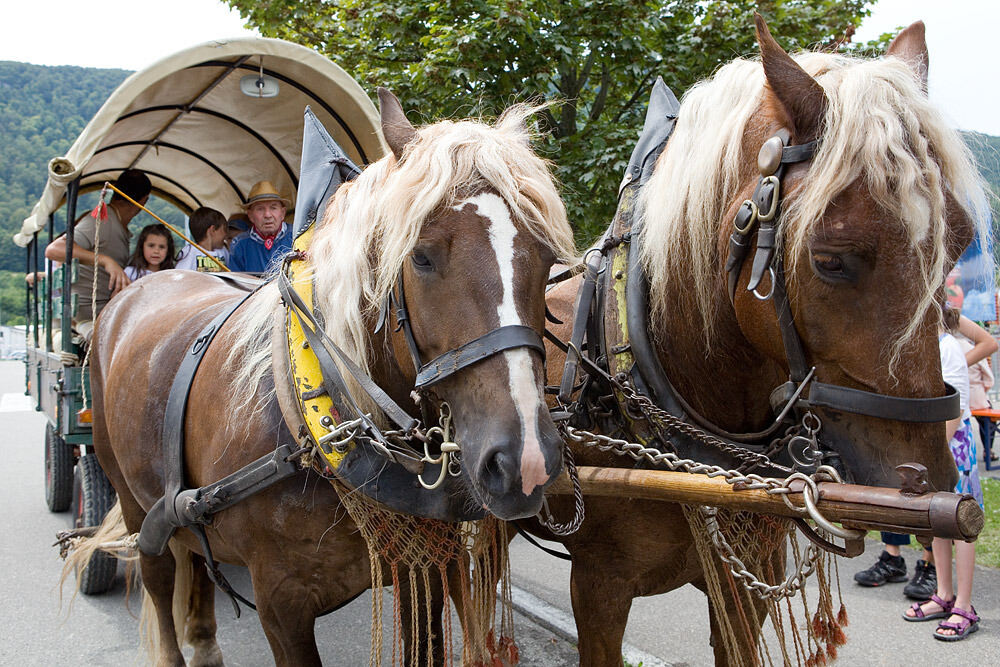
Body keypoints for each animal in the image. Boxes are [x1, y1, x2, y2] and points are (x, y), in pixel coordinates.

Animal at [87, 90, 580, 667]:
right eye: (421, 256)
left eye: (546, 258)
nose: (526, 461)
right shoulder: (280, 604)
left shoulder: (426, 567)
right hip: (132, 499)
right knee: (159, 573)